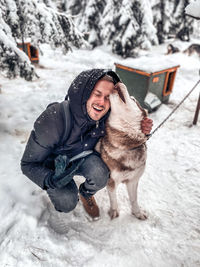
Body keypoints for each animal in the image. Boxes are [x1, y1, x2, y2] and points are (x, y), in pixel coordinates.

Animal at [95, 83, 148, 220]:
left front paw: (137, 213)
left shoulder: (133, 181)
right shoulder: (112, 181)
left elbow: (134, 200)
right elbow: (114, 199)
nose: (117, 83)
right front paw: (114, 212)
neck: (126, 147)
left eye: (133, 99)